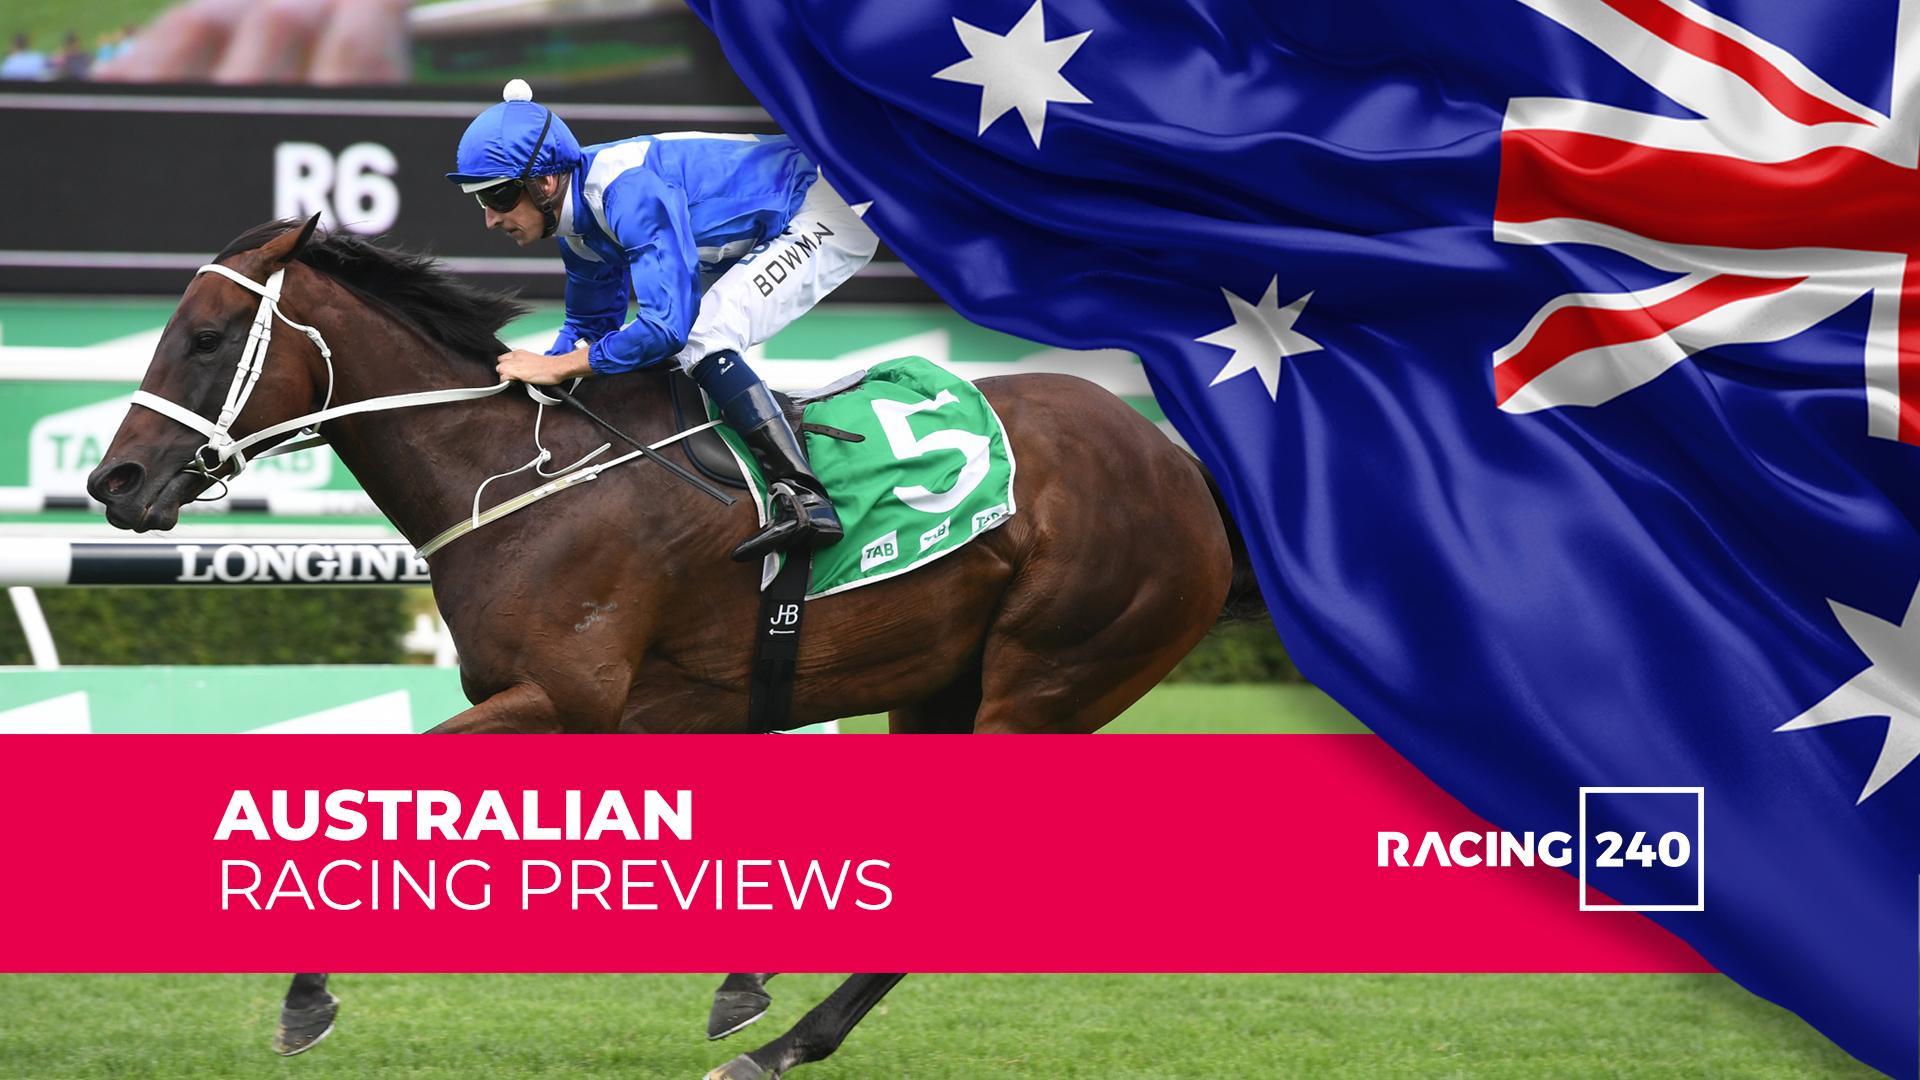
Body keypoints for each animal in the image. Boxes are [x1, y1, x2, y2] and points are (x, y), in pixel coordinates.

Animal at [87, 217, 1266, 1079]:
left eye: (205, 338)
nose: (115, 482)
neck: (523, 475)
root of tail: (1179, 466)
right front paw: (741, 979)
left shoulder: (564, 700)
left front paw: (305, 995)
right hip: (939, 690)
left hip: (1048, 687)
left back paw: (786, 1048)